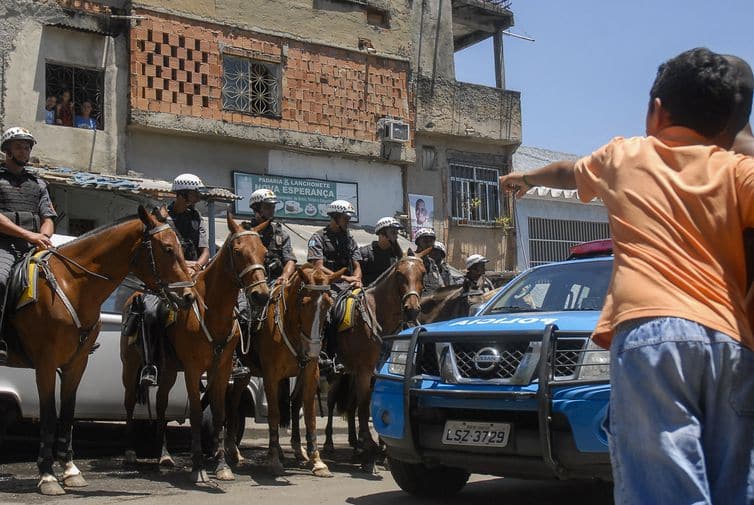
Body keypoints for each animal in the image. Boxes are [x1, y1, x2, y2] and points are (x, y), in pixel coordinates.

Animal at [2, 207, 192, 494]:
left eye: (182, 247)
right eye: (168, 249)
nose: (189, 296)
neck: (72, 285)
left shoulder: (77, 363)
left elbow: (67, 413)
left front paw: (70, 470)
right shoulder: (45, 363)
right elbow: (49, 416)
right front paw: (47, 475)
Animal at [119, 212, 268, 480]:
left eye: (263, 252)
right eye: (238, 251)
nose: (261, 295)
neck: (213, 313)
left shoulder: (221, 371)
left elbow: (219, 413)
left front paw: (222, 464)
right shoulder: (193, 369)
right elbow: (197, 413)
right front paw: (198, 466)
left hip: (168, 370)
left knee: (161, 404)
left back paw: (164, 455)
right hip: (131, 366)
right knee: (129, 402)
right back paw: (130, 452)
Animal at [223, 264, 340, 476]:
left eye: (328, 304)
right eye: (304, 303)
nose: (313, 350)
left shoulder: (310, 374)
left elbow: (309, 416)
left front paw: (317, 461)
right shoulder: (271, 376)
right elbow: (274, 414)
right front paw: (273, 459)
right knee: (233, 402)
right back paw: (233, 450)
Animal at [296, 252, 426, 472]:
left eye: (422, 273)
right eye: (399, 274)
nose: (412, 309)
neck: (378, 315)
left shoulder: (375, 374)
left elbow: (374, 406)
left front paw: (381, 450)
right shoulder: (365, 371)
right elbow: (365, 409)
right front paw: (370, 454)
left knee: (348, 404)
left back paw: (353, 443)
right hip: (336, 375)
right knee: (325, 402)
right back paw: (327, 444)